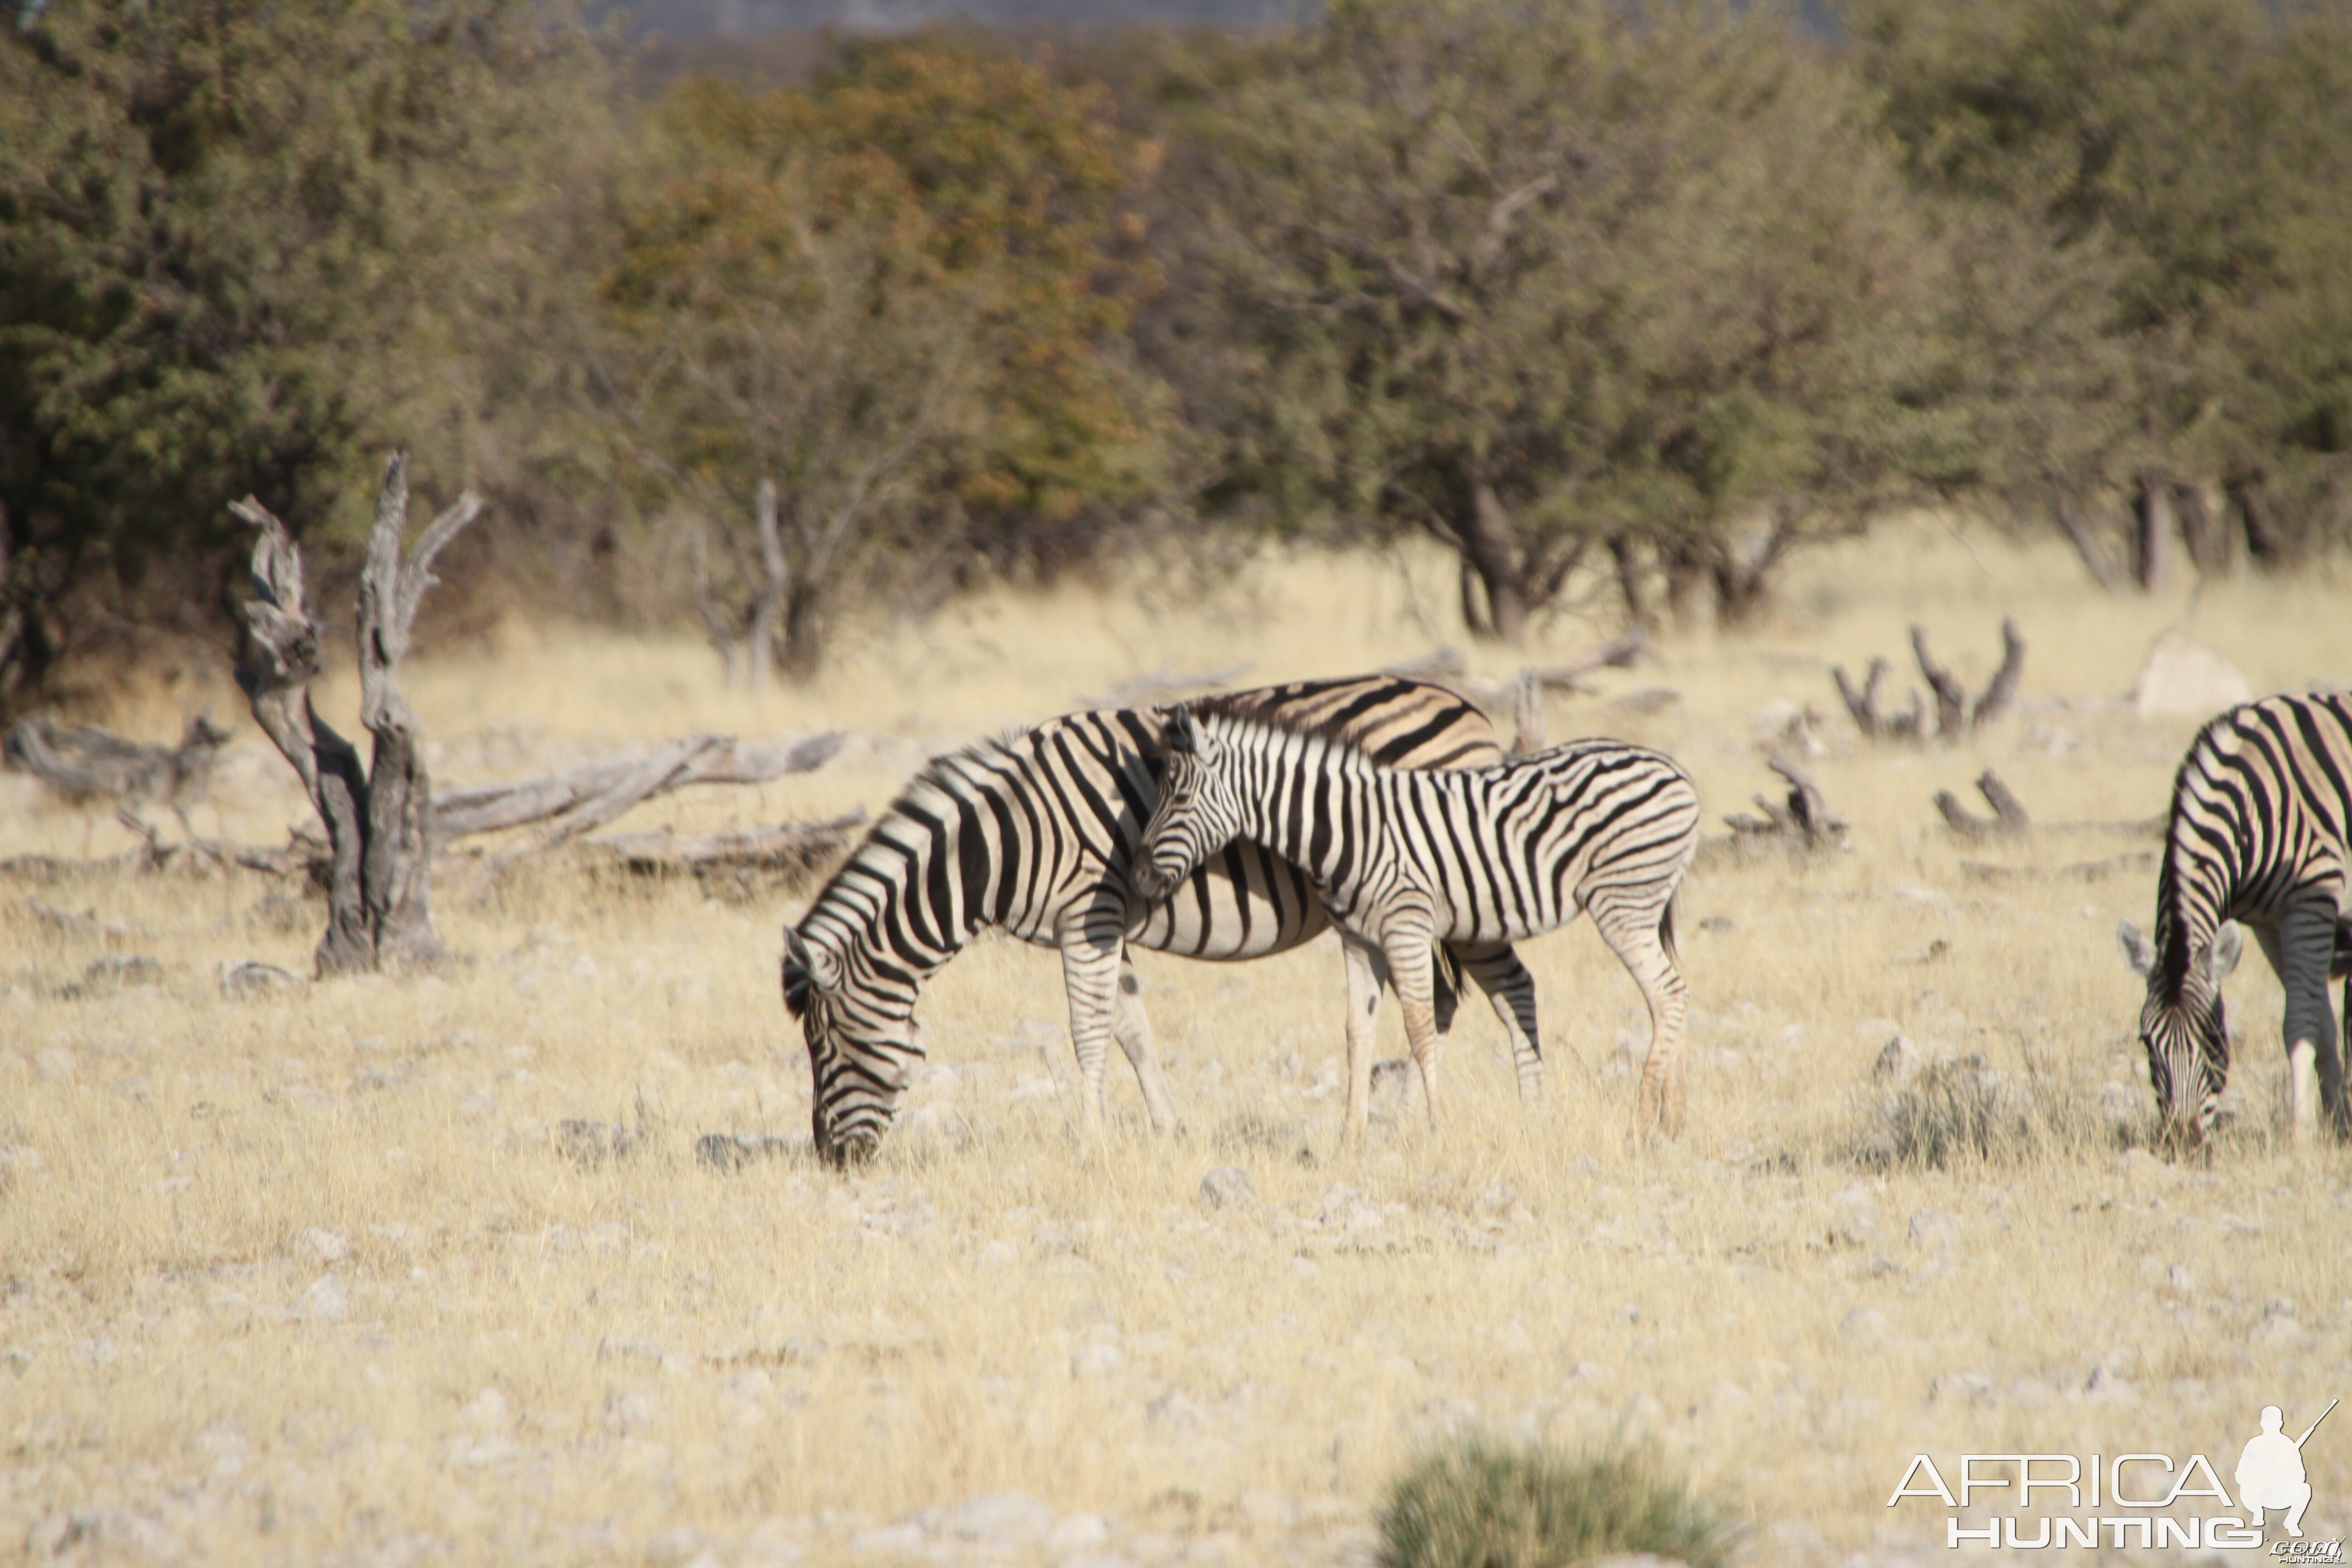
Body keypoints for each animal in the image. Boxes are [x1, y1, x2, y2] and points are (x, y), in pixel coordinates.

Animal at [781, 677, 1543, 1166]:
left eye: (825, 1050)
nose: (831, 1163)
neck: (1007, 839)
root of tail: (1467, 707)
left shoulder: (1087, 916)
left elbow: (1088, 1033)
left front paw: (1090, 1146)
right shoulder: (1104, 928)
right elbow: (1134, 1033)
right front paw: (1170, 1133)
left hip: (1465, 887)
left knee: (1511, 985)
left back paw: (1531, 1116)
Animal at [1129, 701, 1703, 1142]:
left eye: (1180, 798)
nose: (1137, 877)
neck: (1346, 830)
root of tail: (1676, 771)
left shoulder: (1404, 927)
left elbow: (1420, 1027)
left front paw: (1438, 1127)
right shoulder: (1358, 940)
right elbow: (1357, 1033)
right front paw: (1351, 1139)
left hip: (1622, 903)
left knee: (1668, 995)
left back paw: (1641, 1122)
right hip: (1638, 905)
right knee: (1667, 995)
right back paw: (1669, 1120)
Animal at [2117, 691, 2352, 1147]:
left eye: (2212, 1039)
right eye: (2146, 1043)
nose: (2183, 1141)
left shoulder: (2310, 903)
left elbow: (2298, 1022)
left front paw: (2300, 1135)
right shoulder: (2268, 924)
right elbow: (2323, 1025)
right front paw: (2339, 1125)